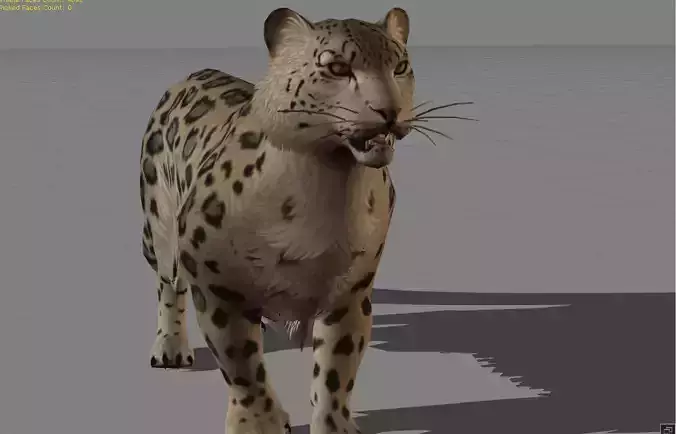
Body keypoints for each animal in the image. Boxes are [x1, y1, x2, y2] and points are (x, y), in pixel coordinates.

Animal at [139, 7, 415, 434]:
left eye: (400, 66)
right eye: (337, 66)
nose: (391, 112)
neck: (327, 191)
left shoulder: (350, 291)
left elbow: (337, 366)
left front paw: (333, 424)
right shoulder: (217, 282)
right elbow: (241, 361)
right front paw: (258, 422)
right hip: (160, 226)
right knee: (168, 283)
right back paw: (170, 348)